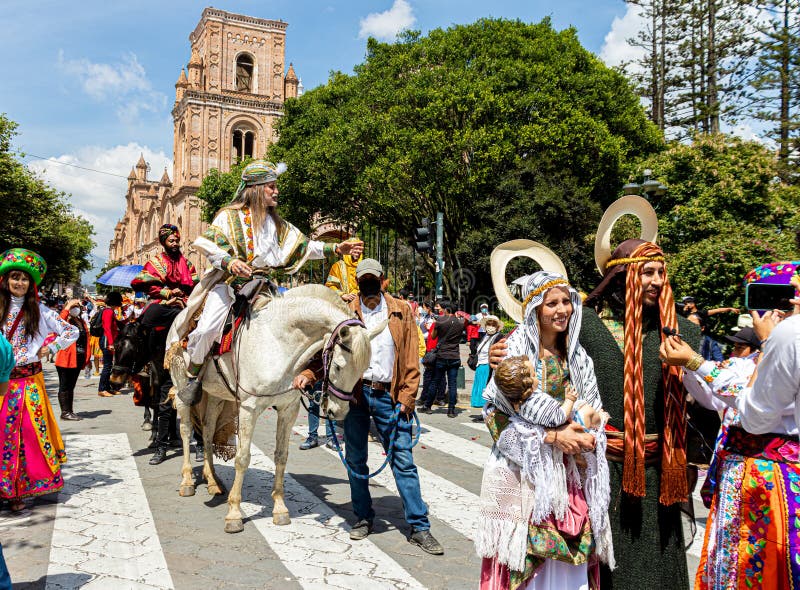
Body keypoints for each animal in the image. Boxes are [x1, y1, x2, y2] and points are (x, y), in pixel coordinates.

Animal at [166, 284, 378, 536]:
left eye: (364, 369)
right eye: (337, 366)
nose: (339, 412)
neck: (276, 342)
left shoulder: (288, 409)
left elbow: (281, 456)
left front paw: (279, 509)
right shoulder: (248, 409)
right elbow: (242, 458)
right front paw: (234, 513)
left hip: (216, 395)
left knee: (207, 432)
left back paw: (213, 481)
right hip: (181, 387)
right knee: (186, 430)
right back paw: (187, 480)